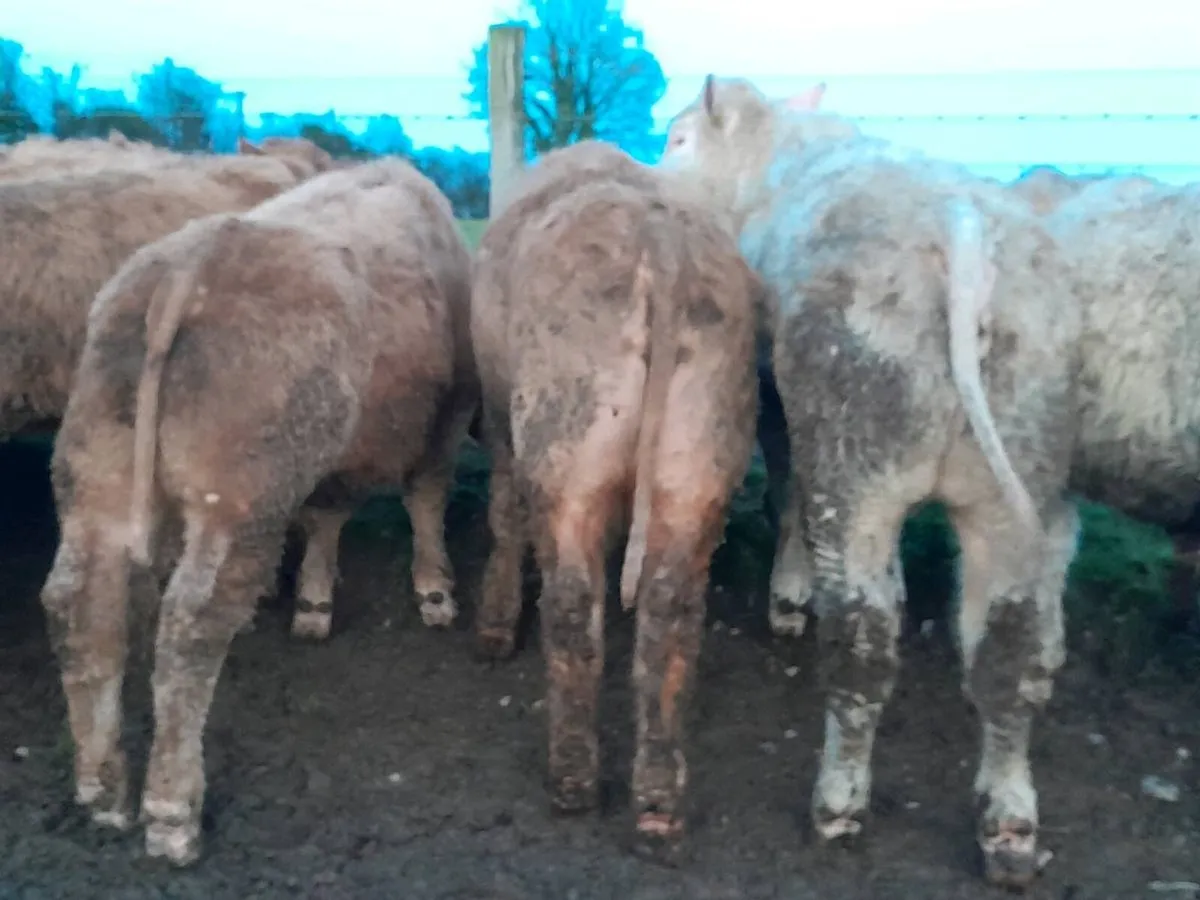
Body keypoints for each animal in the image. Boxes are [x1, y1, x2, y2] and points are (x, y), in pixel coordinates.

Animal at [38, 157, 476, 866]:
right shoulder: (448, 413)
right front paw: (435, 591)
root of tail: (188, 263)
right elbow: (427, 496)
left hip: (95, 478)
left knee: (78, 605)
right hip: (239, 503)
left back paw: (103, 788)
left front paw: (315, 601)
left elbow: (328, 515)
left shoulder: (335, 458)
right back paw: (172, 812)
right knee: (190, 625)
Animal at [470, 140, 761, 861]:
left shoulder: (499, 414)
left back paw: (572, 780)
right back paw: (657, 798)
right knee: (670, 608)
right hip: (700, 449)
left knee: (572, 602)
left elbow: (504, 513)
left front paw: (495, 625)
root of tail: (659, 236)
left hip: (564, 440)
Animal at [658, 76, 1082, 888]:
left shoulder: (779, 399)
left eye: (679, 139)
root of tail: (959, 231)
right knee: (1008, 649)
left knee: (863, 637)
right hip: (1017, 479)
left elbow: (786, 490)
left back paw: (839, 801)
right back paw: (1008, 824)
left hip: (855, 462)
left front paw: (788, 594)